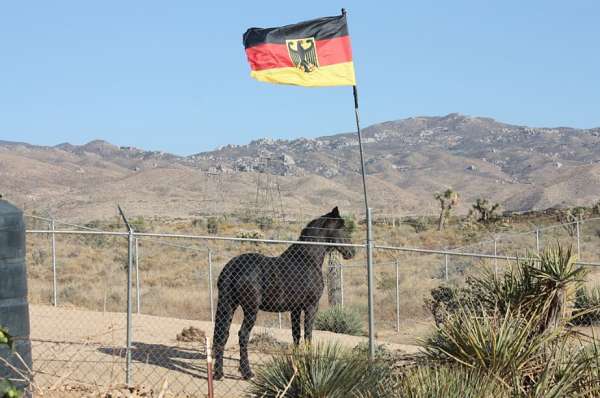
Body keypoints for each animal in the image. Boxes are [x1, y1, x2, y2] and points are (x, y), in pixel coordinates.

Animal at [212, 208, 356, 380]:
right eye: (342, 228)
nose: (352, 252)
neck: (307, 259)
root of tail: (233, 267)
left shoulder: (295, 309)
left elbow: (296, 336)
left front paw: (297, 366)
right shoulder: (311, 306)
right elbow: (308, 335)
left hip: (229, 305)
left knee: (222, 334)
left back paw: (218, 373)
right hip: (250, 309)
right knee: (243, 335)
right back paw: (247, 373)